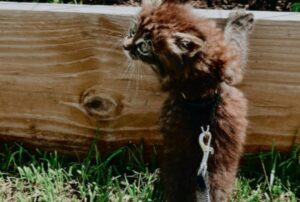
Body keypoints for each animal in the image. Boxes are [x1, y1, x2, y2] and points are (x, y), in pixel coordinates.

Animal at [123, 1, 254, 200]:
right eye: (132, 31)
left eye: (143, 47)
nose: (125, 46)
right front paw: (239, 19)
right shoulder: (231, 65)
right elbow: (235, 39)